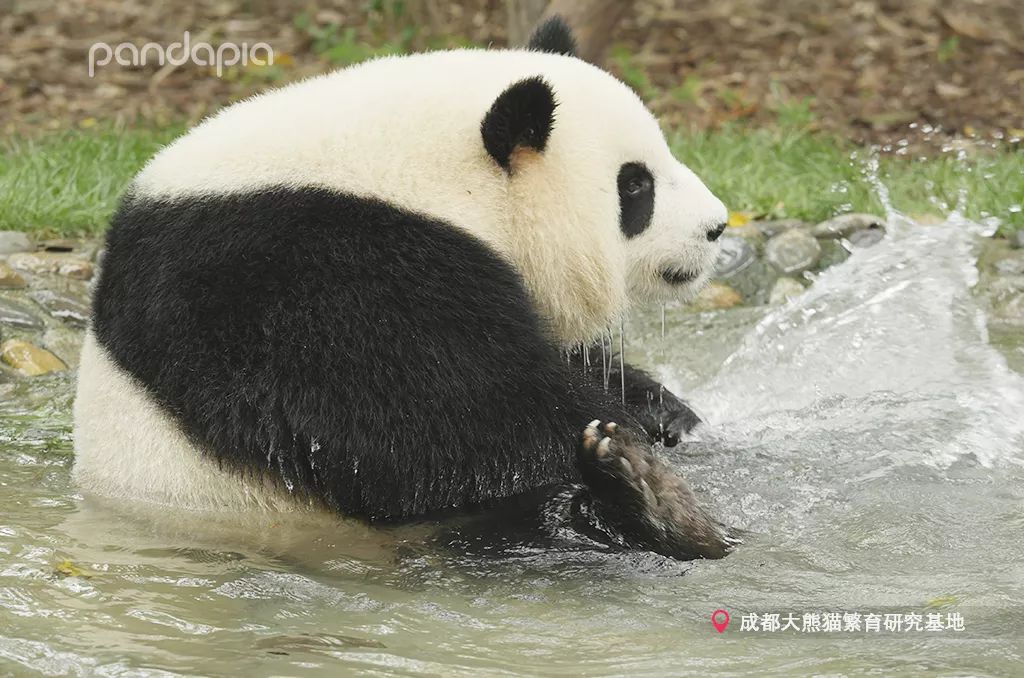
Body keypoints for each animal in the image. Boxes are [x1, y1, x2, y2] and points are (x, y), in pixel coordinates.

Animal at [75, 19, 733, 561]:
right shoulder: (309, 275)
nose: (716, 227)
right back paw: (652, 503)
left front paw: (662, 413)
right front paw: (623, 443)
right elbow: (436, 429)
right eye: (635, 186)